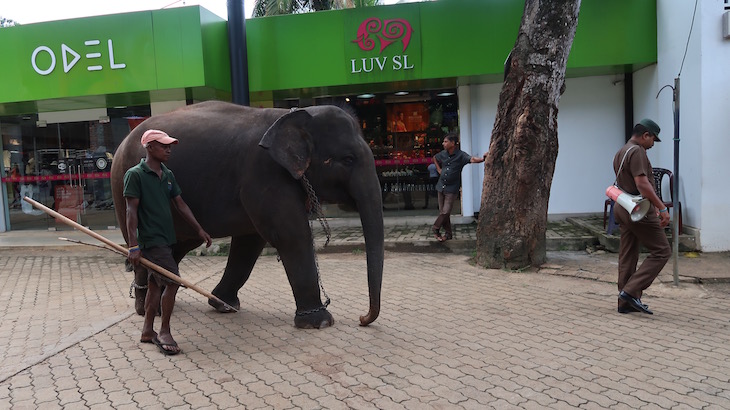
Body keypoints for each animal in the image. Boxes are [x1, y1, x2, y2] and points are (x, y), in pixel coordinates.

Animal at [111, 101, 384, 328]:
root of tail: (121, 143)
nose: (362, 318)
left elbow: (251, 243)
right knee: (143, 246)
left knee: (179, 246)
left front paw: (224, 306)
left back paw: (162, 302)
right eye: (348, 159)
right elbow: (290, 235)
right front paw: (320, 322)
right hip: (122, 188)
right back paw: (148, 309)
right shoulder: (263, 174)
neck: (294, 114)